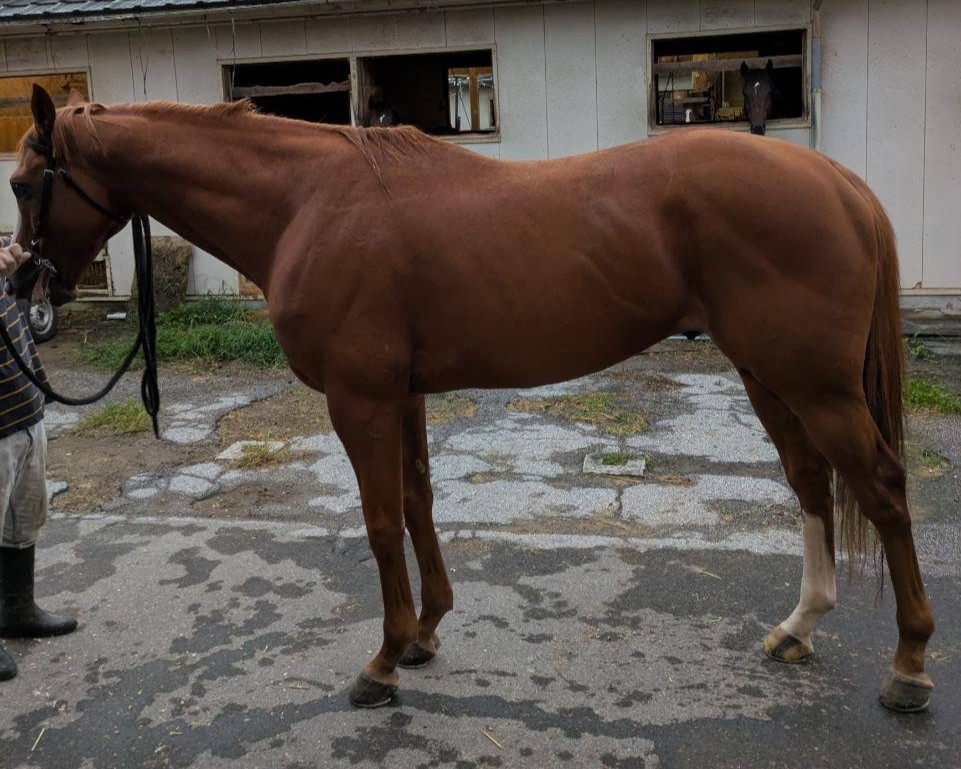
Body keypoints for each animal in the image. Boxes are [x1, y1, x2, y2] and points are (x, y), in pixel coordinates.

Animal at [8, 85, 934, 712]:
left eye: (23, 183)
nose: (23, 283)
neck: (307, 203)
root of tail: (836, 180)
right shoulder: (401, 394)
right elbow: (419, 501)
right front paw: (424, 632)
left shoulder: (359, 399)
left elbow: (381, 521)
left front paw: (382, 660)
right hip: (769, 377)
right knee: (811, 483)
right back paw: (797, 627)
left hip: (813, 383)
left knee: (882, 489)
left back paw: (908, 665)